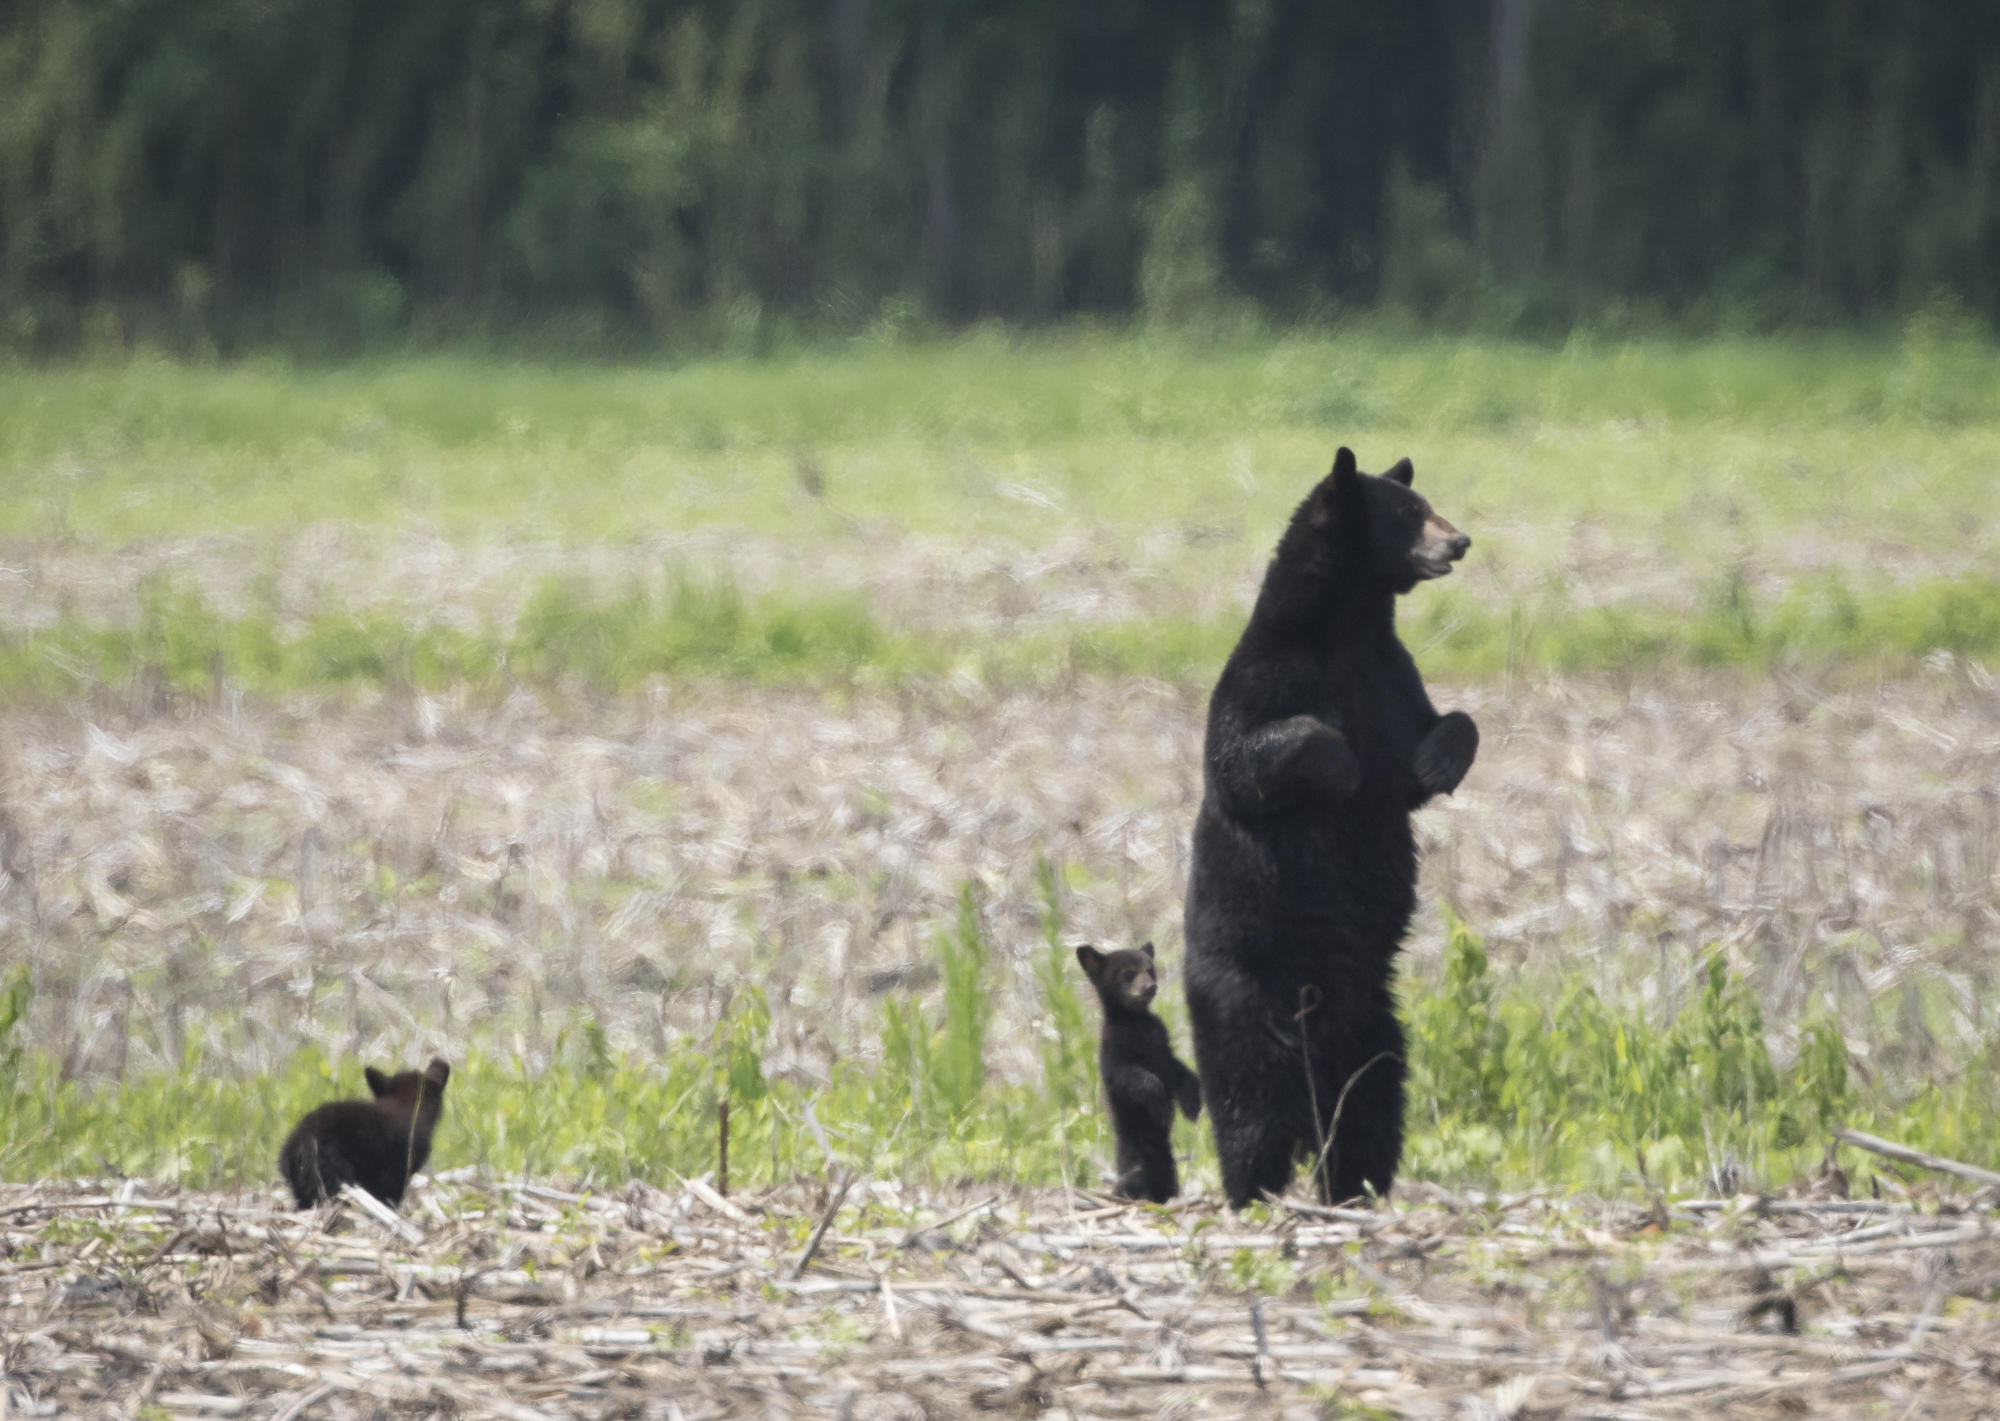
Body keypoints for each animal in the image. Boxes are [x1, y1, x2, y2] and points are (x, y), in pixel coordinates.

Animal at [279, 1057, 451, 1210]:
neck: (405, 1105)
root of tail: (296, 1146)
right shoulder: (394, 1166)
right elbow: (388, 1192)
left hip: (300, 1181)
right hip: (327, 1168)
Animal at [1076, 942, 1203, 1203]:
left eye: (1150, 969)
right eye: (1128, 974)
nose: (1150, 986)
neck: (1136, 1021)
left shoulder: (1162, 1044)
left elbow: (1178, 1070)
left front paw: (1192, 1105)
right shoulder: (1114, 1051)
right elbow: (1131, 1077)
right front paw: (1161, 1106)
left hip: (1167, 1162)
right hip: (1136, 1153)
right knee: (1136, 1176)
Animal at [1183, 447, 1476, 1209]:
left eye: (1427, 504)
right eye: (1407, 512)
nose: (1460, 540)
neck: (1347, 629)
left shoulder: (1390, 675)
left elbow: (1428, 742)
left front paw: (1440, 756)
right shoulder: (1265, 676)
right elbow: (1244, 756)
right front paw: (1340, 763)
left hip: (1377, 1026)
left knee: (1370, 1110)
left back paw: (1355, 1189)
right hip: (1245, 1001)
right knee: (1248, 1110)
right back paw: (1254, 1193)